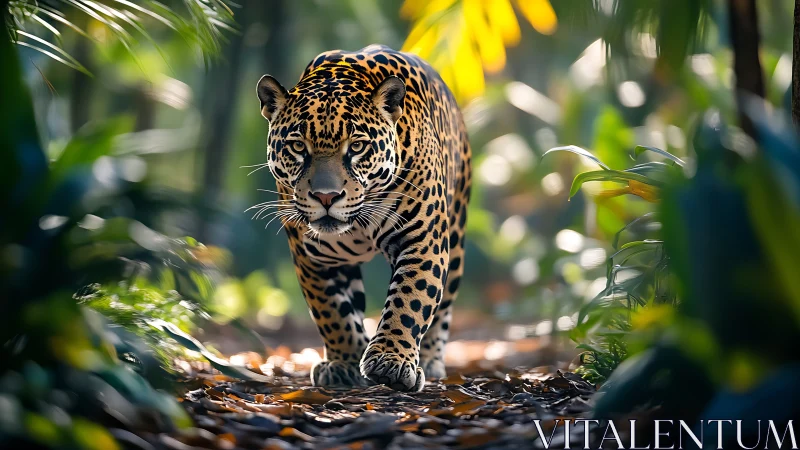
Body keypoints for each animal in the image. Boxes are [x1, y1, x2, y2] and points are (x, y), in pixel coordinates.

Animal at [255, 45, 471, 392]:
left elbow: (411, 299)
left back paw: (430, 360)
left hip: (456, 236)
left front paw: (390, 362)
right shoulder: (311, 256)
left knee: (443, 305)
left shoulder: (422, 241)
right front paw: (344, 361)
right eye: (298, 146)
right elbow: (331, 311)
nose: (326, 196)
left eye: (357, 146)